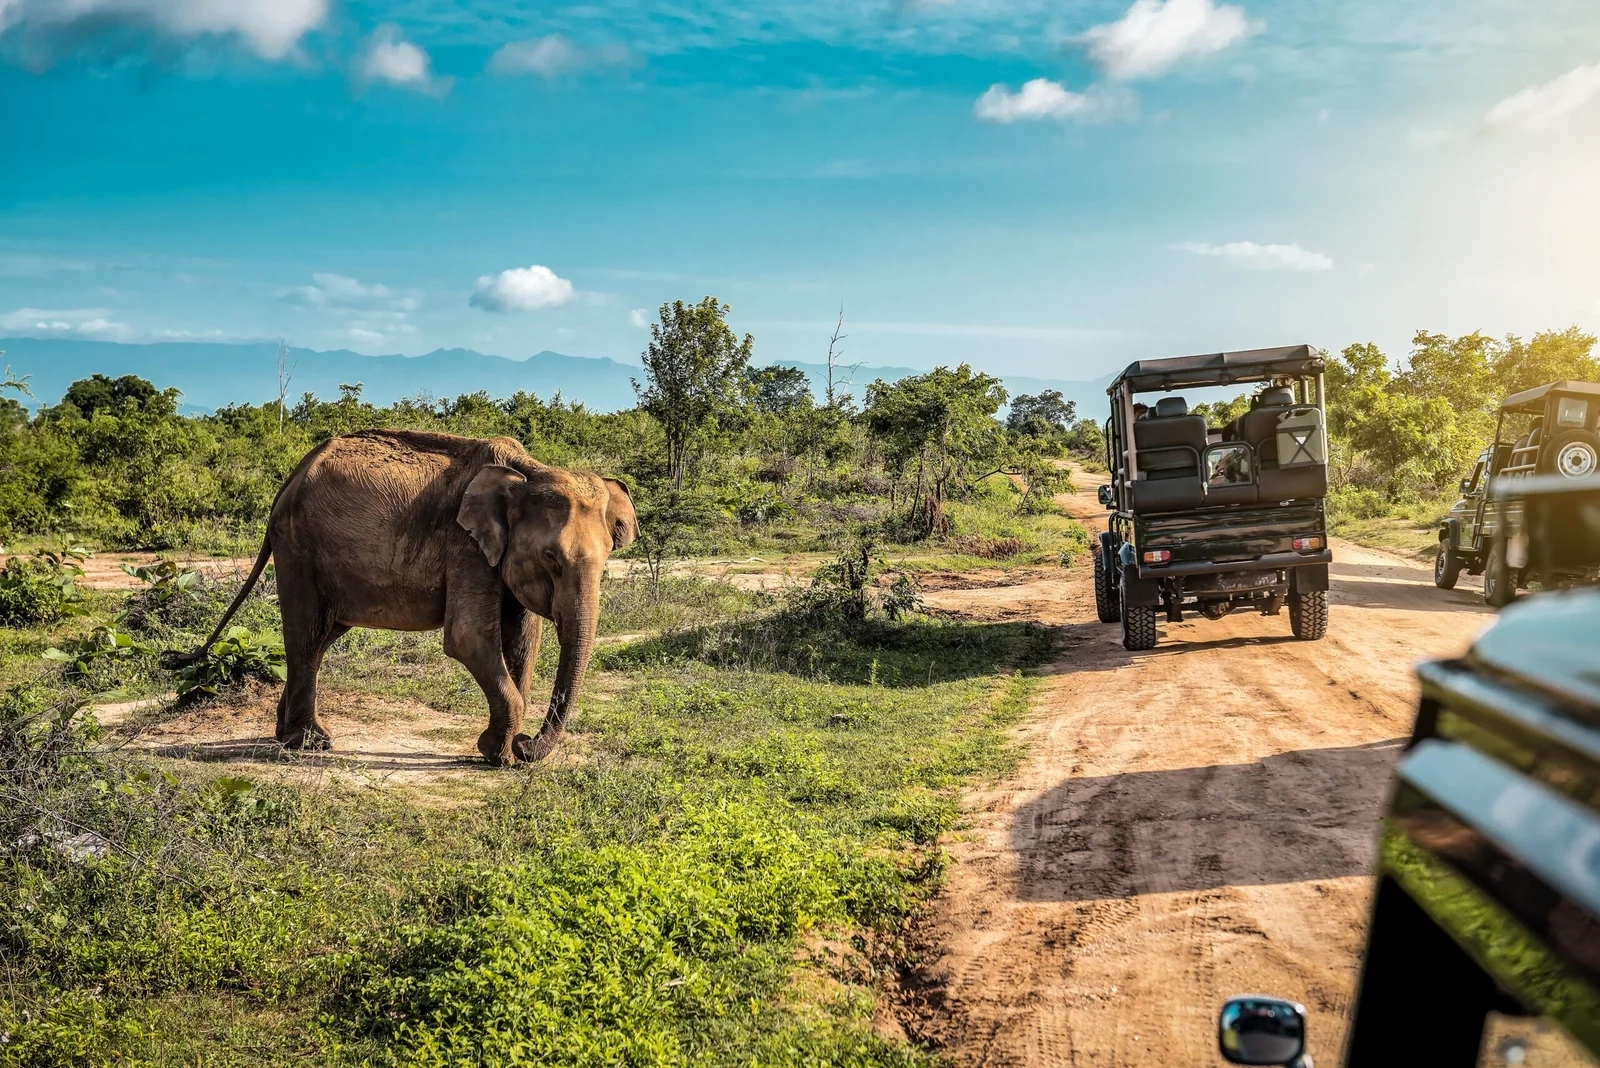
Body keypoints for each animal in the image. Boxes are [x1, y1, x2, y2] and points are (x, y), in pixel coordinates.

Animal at [176, 429, 637, 766]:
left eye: (607, 558)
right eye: (550, 558)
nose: (529, 744)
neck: (528, 471)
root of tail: (289, 478)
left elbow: (525, 641)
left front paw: (506, 756)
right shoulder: (465, 548)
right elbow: (468, 639)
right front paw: (498, 754)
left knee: (322, 637)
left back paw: (287, 735)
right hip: (298, 549)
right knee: (306, 635)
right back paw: (308, 744)